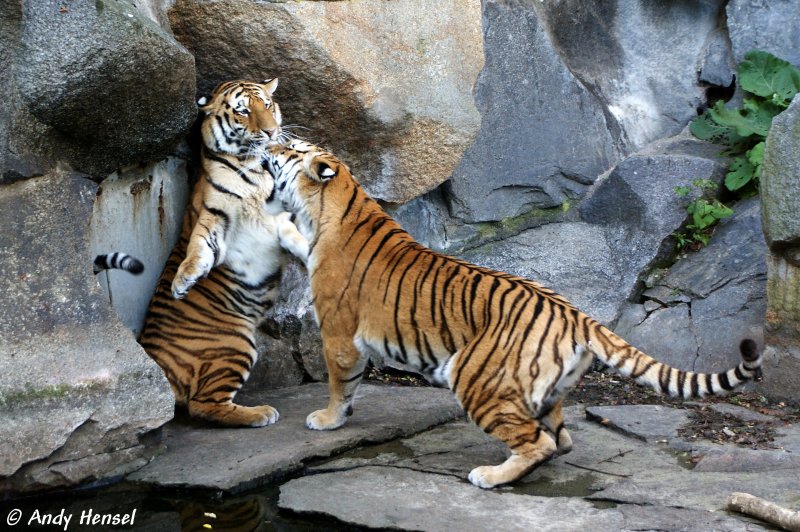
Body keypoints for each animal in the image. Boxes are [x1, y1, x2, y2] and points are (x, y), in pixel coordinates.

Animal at [138, 80, 306, 428]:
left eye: (267, 105)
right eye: (243, 111)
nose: (271, 132)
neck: (255, 166)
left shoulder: (283, 216)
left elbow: (298, 234)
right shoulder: (215, 216)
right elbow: (200, 246)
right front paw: (184, 281)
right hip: (235, 342)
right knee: (202, 405)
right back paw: (259, 413)